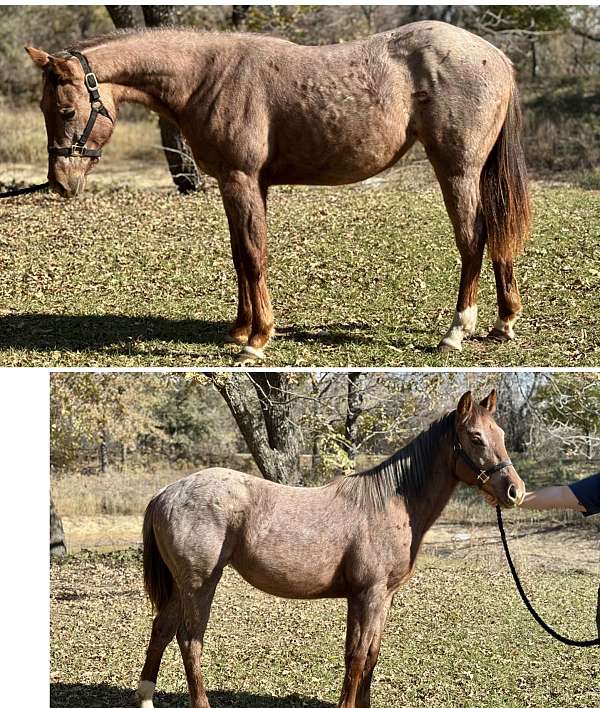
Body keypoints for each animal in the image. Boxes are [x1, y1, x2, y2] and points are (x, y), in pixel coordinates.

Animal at [25, 22, 532, 362]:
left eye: (66, 110)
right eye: (44, 108)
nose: (60, 182)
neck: (210, 75)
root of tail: (496, 56)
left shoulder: (241, 179)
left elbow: (253, 255)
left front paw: (256, 341)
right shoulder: (243, 185)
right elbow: (240, 255)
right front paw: (240, 328)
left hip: (458, 171)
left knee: (473, 240)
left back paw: (457, 331)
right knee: (496, 236)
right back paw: (502, 323)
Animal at [136, 392, 524, 708]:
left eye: (502, 435)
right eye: (475, 437)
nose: (515, 491)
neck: (389, 504)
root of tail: (165, 493)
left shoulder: (380, 597)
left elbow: (369, 655)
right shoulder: (367, 594)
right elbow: (357, 656)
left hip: (180, 586)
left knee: (162, 631)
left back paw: (146, 698)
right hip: (200, 585)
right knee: (190, 641)